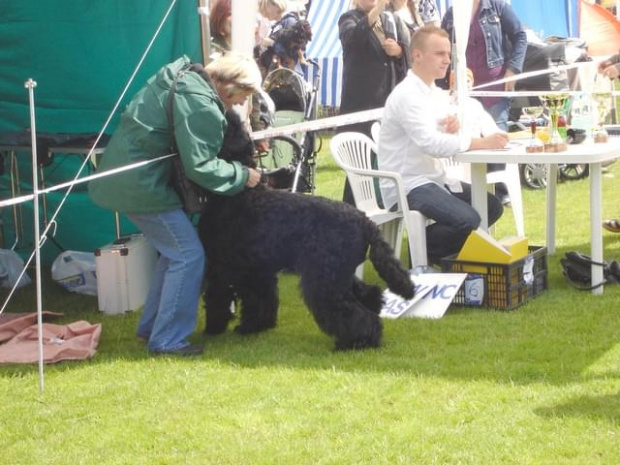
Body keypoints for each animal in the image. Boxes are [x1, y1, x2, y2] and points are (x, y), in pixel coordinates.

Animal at [196, 110, 414, 348]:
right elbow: (260, 300)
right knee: (368, 293)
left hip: (324, 279)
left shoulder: (221, 268)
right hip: (337, 274)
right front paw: (254, 326)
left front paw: (213, 329)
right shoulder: (257, 271)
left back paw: (357, 341)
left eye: (228, 128)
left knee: (354, 313)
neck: (241, 195)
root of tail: (367, 223)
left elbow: (218, 299)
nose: (229, 111)